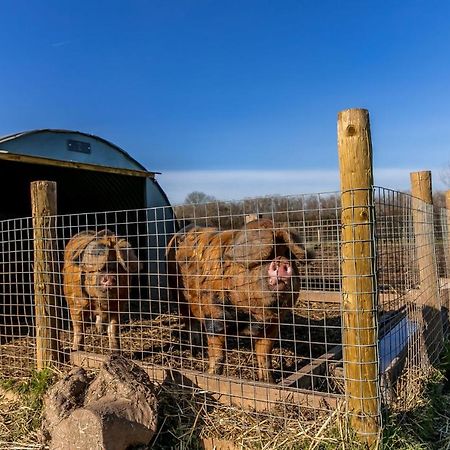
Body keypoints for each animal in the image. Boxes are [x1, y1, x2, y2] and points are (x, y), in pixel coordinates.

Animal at [167, 218, 312, 384]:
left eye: (288, 253)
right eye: (267, 256)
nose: (281, 261)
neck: (250, 316)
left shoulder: (272, 325)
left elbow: (264, 355)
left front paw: (269, 383)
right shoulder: (214, 317)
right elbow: (218, 355)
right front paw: (212, 377)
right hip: (179, 295)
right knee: (191, 324)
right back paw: (194, 353)